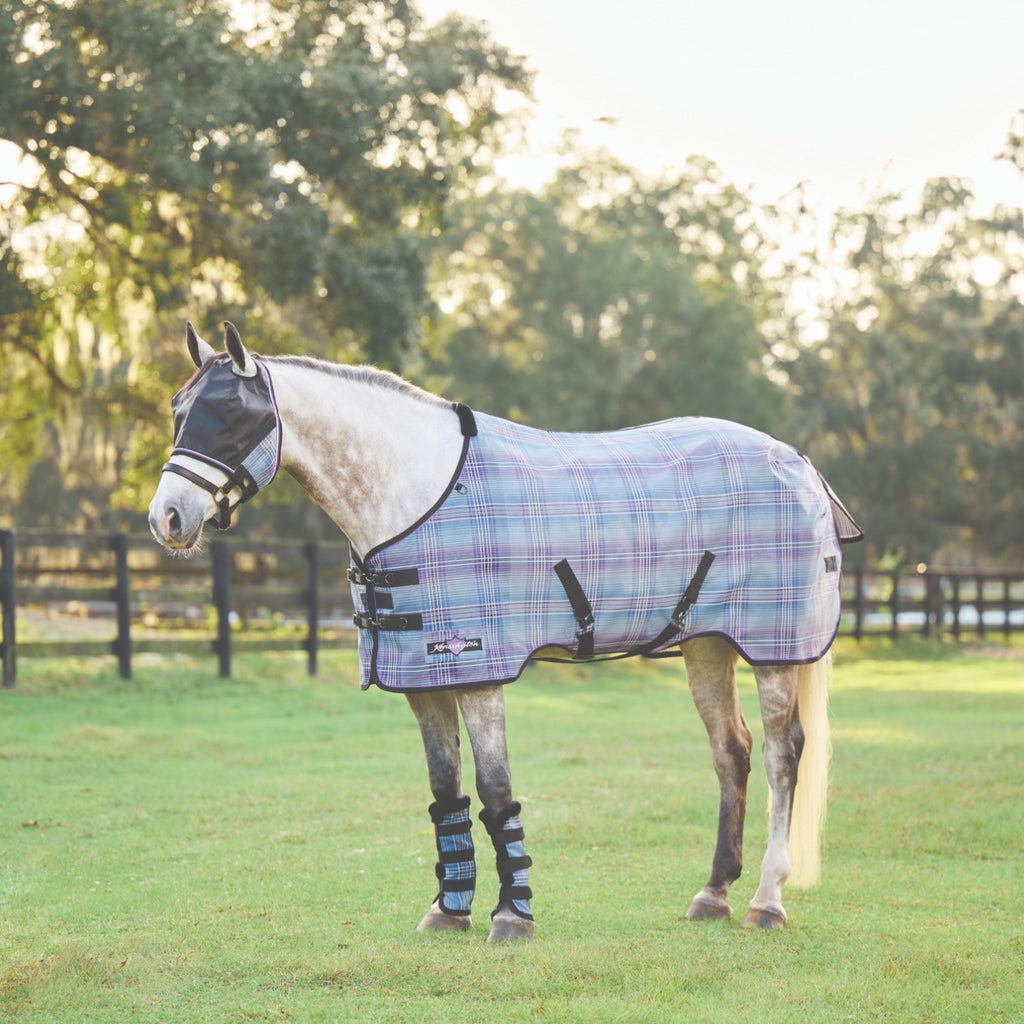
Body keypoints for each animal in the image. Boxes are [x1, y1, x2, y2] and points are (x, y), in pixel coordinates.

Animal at [149, 321, 862, 941]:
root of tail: (801, 465)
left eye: (231, 413)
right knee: (731, 751)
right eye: (179, 409)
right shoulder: (424, 678)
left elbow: (496, 790)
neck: (415, 492)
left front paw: (511, 916)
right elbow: (446, 791)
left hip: (774, 652)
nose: (168, 519)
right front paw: (449, 909)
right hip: (708, 645)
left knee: (781, 756)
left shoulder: (478, 669)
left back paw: (767, 900)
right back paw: (712, 893)